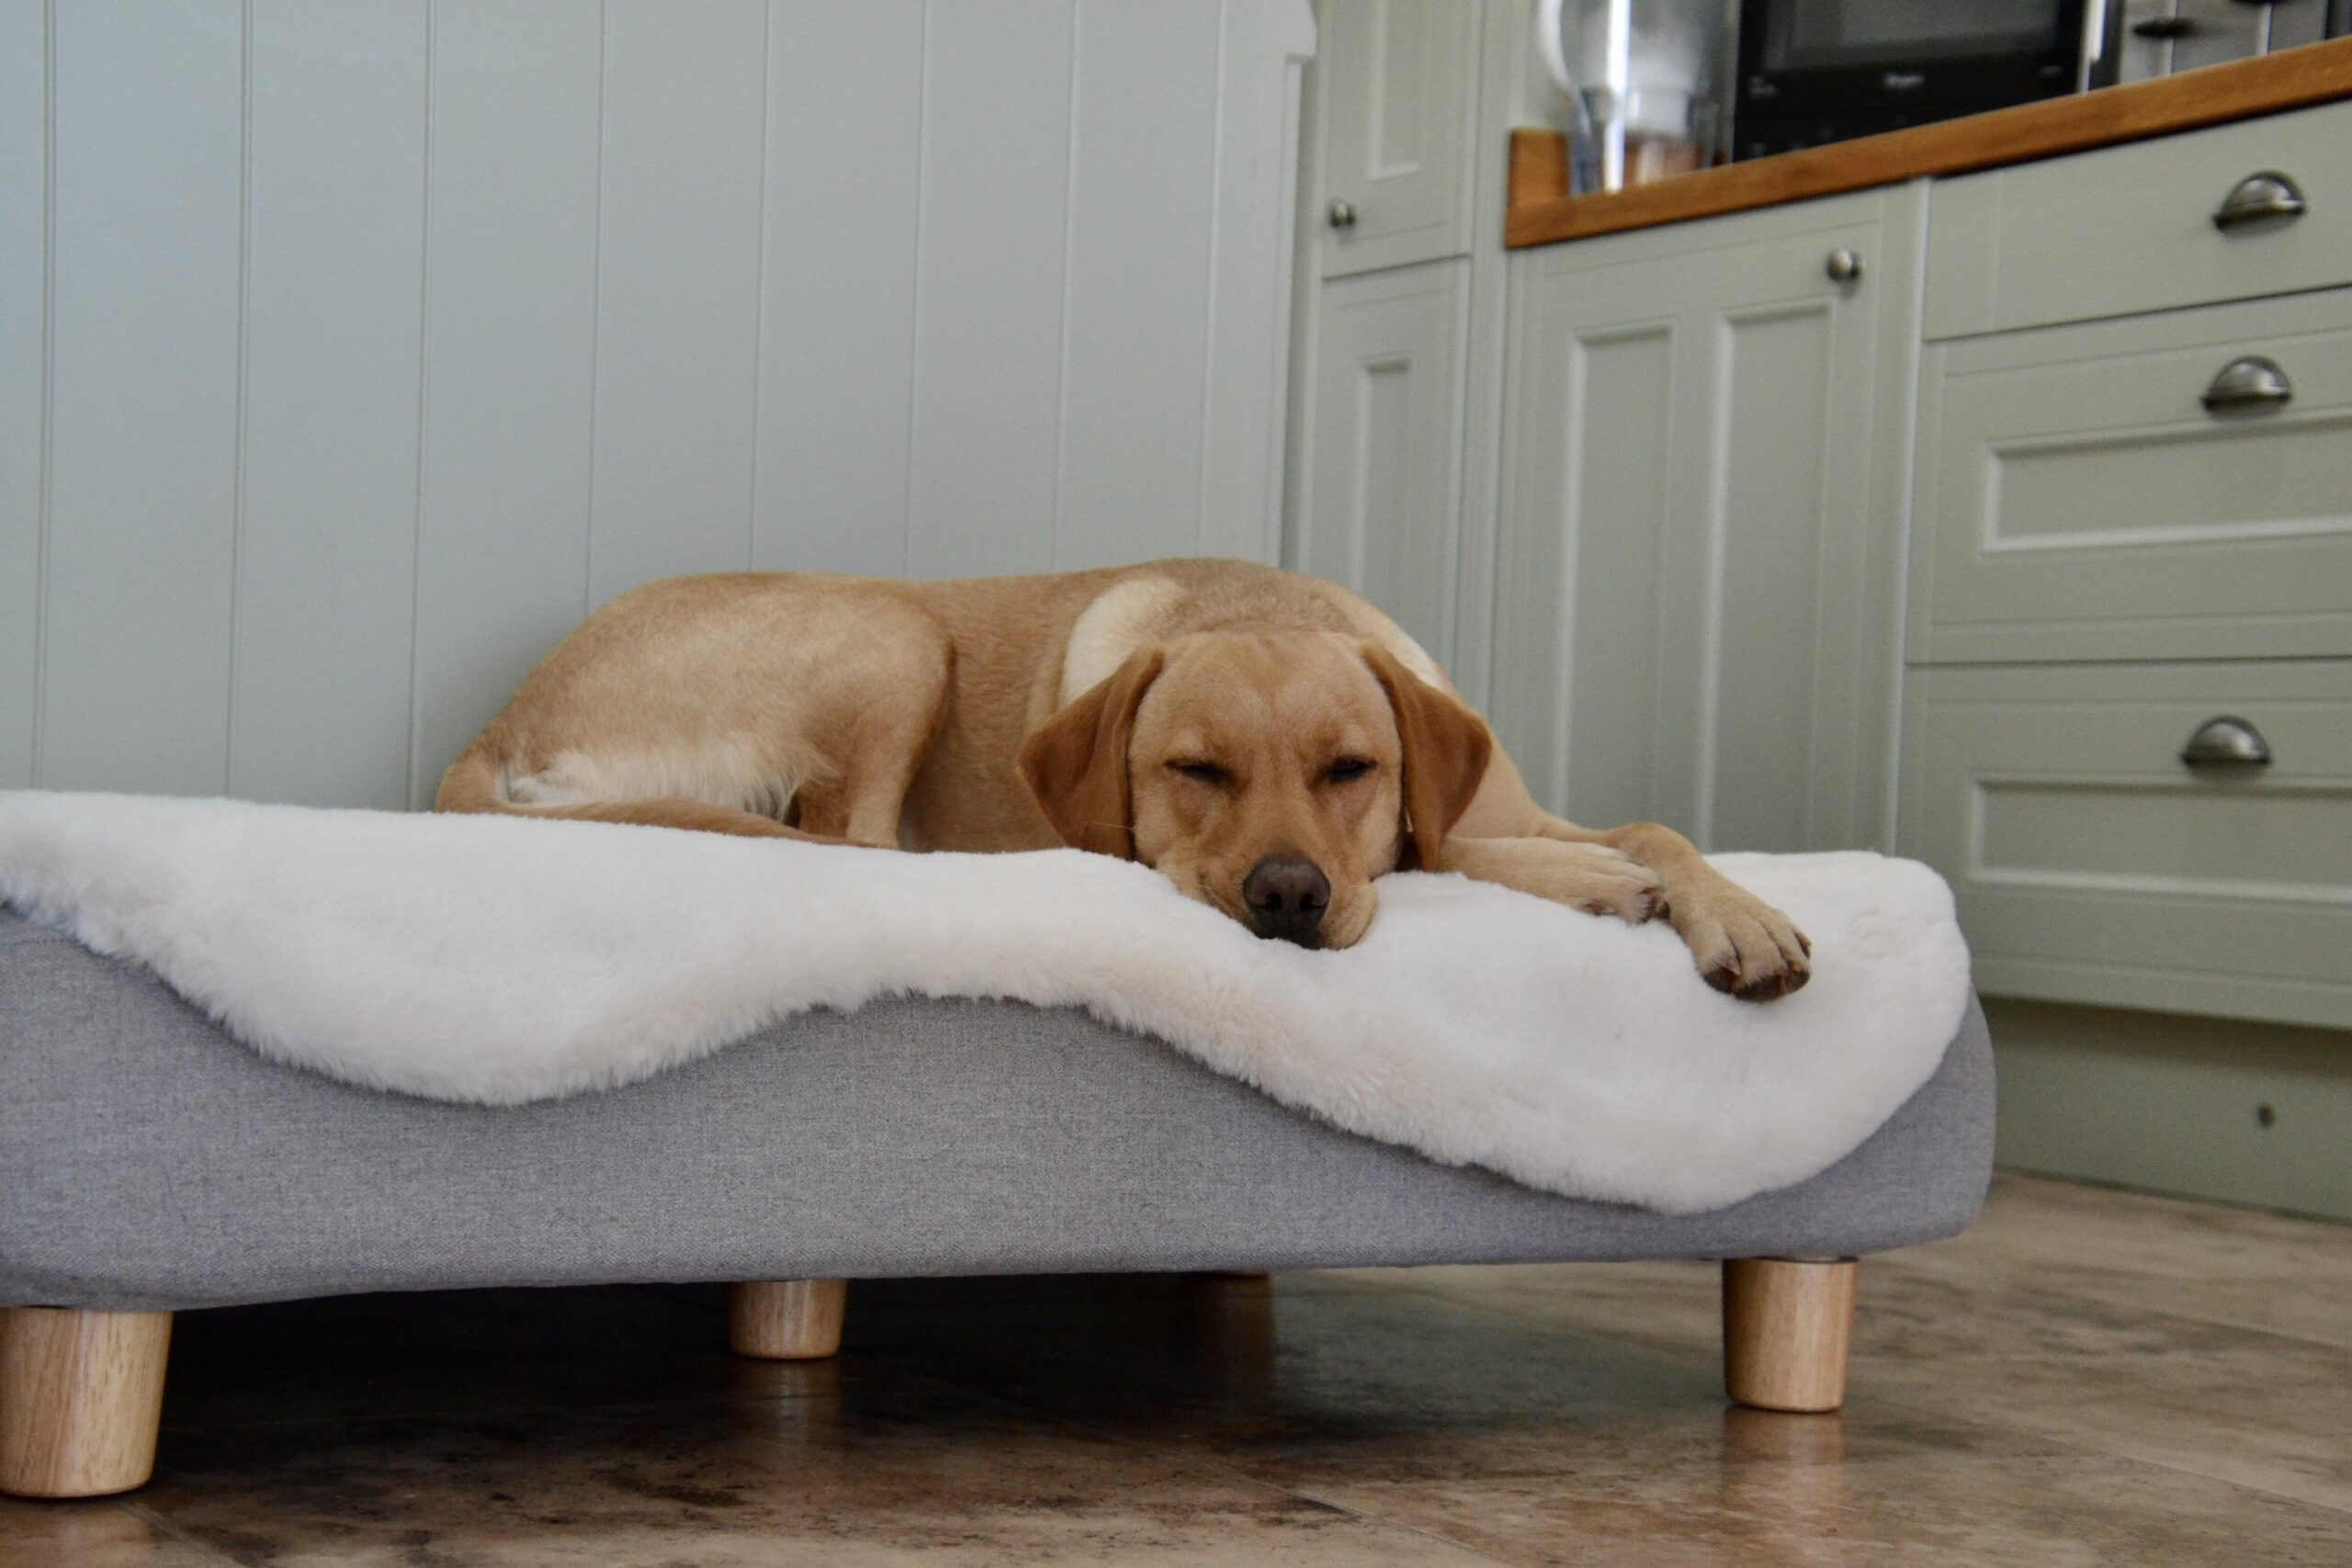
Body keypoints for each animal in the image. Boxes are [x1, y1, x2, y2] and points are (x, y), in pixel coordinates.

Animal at [437, 561, 1796, 991]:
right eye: (1193, 769)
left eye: (1351, 767)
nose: (1288, 896)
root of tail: (499, 719)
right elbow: (1448, 846)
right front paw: (1595, 885)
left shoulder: (1517, 796)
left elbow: (1652, 825)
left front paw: (1740, 910)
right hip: (896, 627)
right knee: (861, 840)